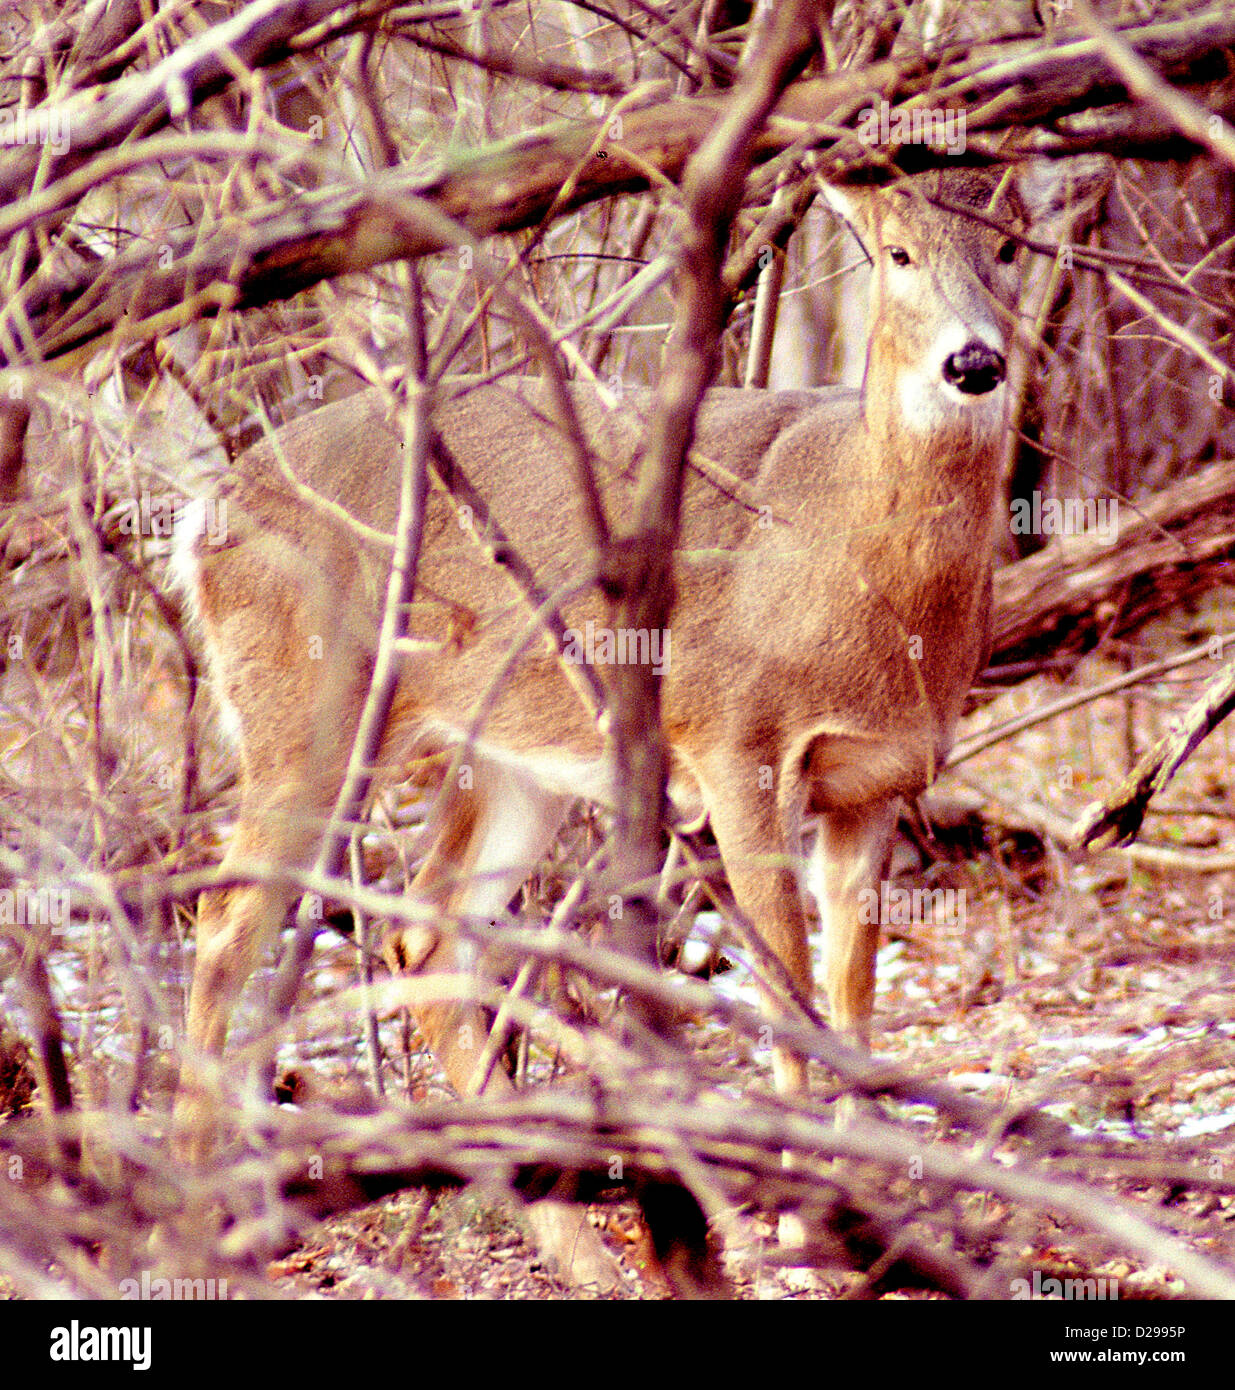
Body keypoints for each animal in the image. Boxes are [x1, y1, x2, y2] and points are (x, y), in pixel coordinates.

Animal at [169, 166, 1031, 1292]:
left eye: (1009, 246)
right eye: (896, 252)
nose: (973, 363)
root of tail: (206, 509)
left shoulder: (874, 781)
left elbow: (851, 997)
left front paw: (865, 1211)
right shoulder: (736, 741)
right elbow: (787, 985)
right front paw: (798, 1229)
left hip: (510, 758)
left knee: (425, 926)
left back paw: (577, 1244)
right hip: (304, 712)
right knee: (226, 924)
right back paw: (189, 1214)